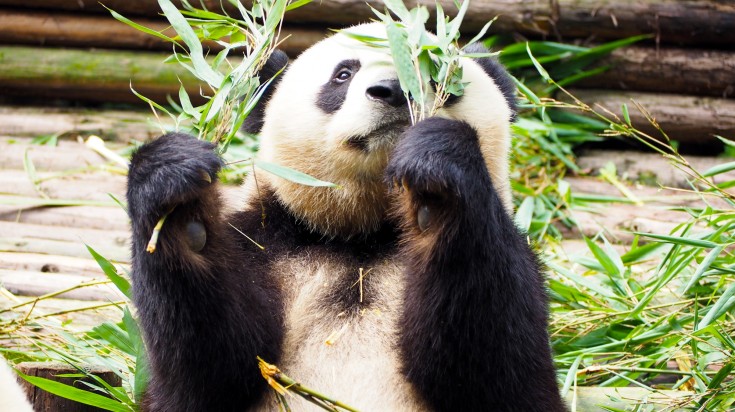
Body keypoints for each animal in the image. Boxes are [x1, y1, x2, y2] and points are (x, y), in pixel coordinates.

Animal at [126, 23, 568, 412]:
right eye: (343, 74)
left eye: (433, 71)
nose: (394, 90)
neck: (363, 236)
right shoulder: (267, 241)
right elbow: (210, 369)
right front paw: (181, 206)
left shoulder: (524, 263)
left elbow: (499, 364)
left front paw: (436, 182)